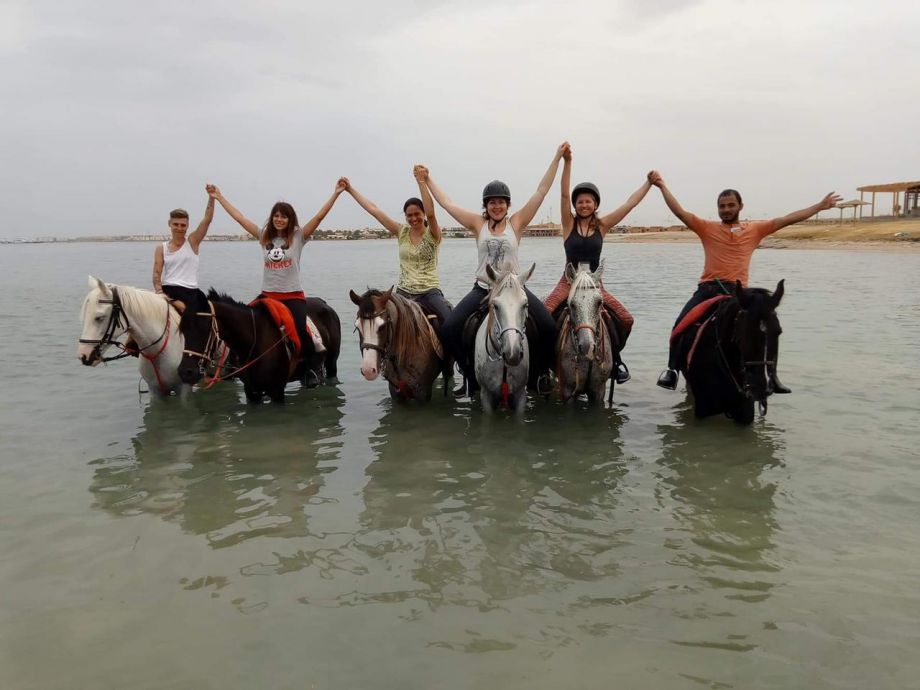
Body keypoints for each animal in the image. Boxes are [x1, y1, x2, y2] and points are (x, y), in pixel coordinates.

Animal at [177, 289, 341, 403]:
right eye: (182, 329)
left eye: (204, 328)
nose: (186, 372)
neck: (255, 340)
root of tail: (324, 304)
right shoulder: (251, 391)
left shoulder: (277, 390)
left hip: (332, 362)